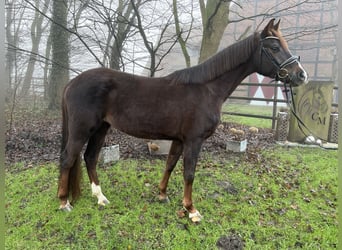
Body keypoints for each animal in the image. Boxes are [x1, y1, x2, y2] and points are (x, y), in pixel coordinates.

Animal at [57, 19, 308, 222]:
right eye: (275, 47)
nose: (301, 75)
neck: (207, 89)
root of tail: (71, 83)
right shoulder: (194, 140)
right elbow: (189, 173)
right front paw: (191, 210)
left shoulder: (178, 139)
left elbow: (169, 164)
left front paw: (162, 195)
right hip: (82, 130)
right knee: (68, 158)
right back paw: (64, 202)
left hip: (101, 128)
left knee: (90, 158)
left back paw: (100, 197)